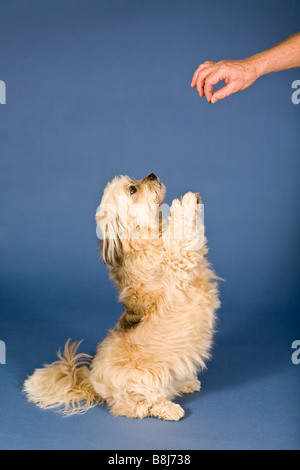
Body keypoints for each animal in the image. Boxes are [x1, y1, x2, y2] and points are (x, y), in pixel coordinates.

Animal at [23, 173, 219, 422]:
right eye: (132, 189)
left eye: (135, 180)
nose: (152, 175)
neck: (145, 239)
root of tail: (95, 385)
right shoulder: (176, 260)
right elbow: (179, 235)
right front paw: (182, 203)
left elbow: (192, 233)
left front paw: (193, 202)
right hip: (142, 380)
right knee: (140, 405)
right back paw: (168, 408)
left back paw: (185, 384)